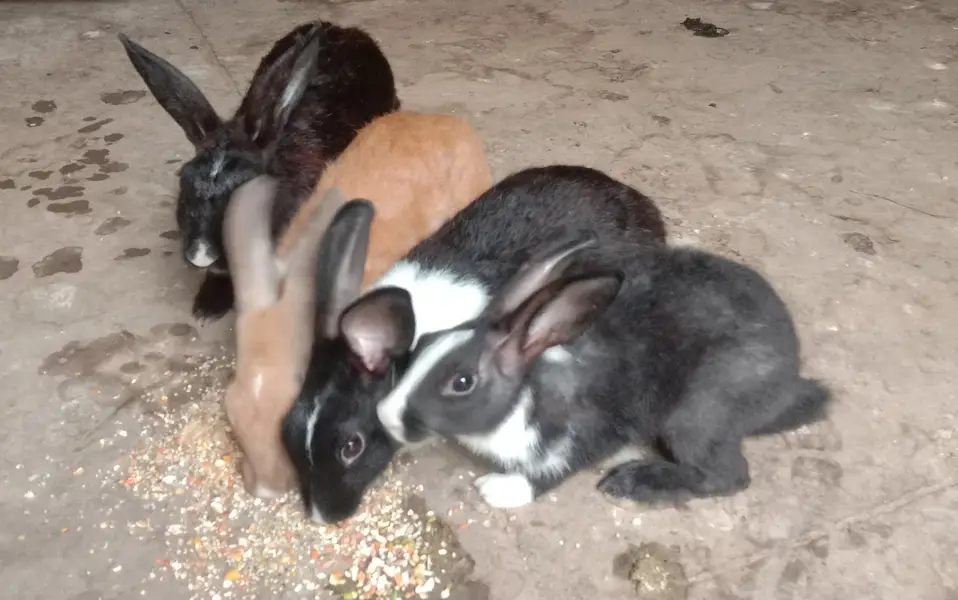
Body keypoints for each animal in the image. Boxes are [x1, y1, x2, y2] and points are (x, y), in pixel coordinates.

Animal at [372, 234, 832, 509]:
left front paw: (499, 489)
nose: (385, 415)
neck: (527, 398)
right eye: (425, 343)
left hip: (698, 415)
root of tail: (791, 380)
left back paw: (635, 482)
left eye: (462, 382)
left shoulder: (589, 432)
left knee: (728, 476)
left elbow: (556, 469)